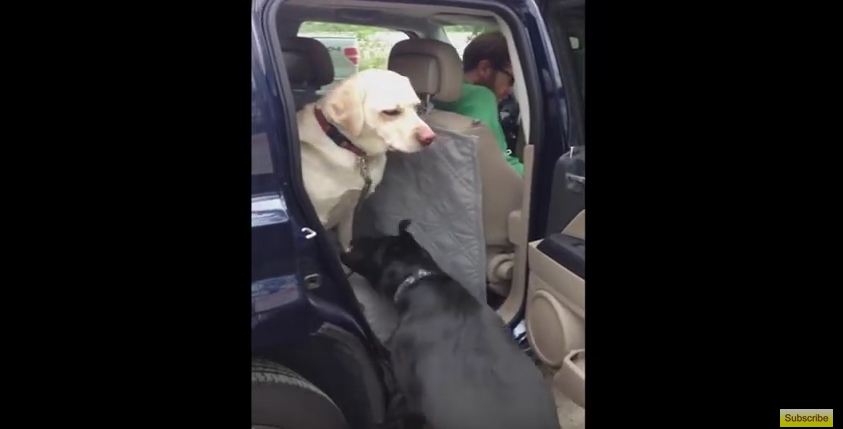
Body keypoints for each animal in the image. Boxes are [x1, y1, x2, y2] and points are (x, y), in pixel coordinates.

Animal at [296, 68, 438, 249]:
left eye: (417, 108)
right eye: (391, 112)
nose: (430, 138)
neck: (343, 142)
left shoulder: (349, 210)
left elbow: (346, 242)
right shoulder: (319, 216)